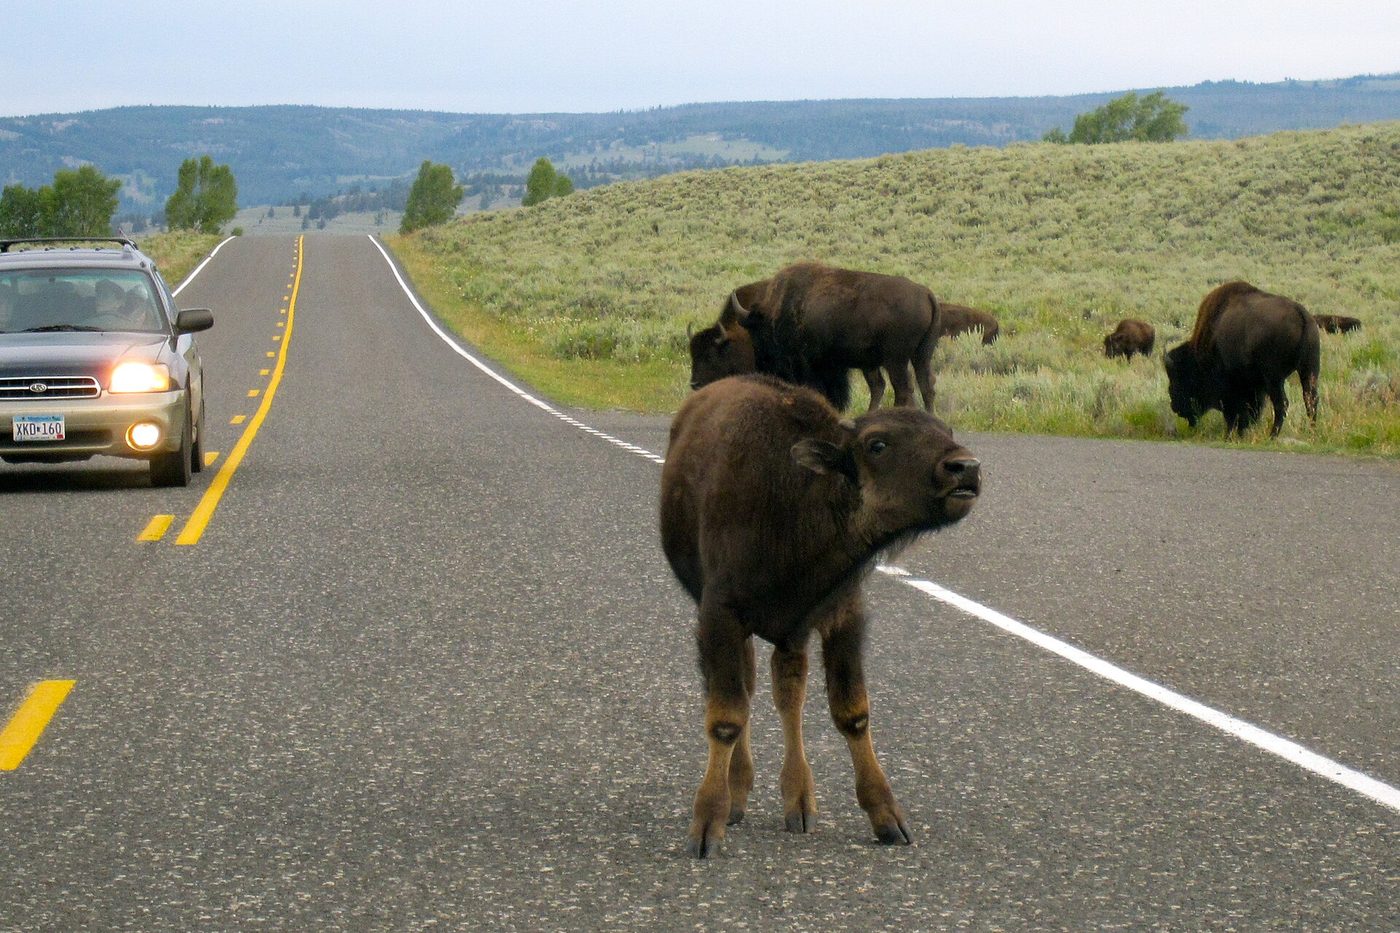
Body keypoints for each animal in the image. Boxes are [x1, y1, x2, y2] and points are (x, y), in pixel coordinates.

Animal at [659, 374, 980, 857]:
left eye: (947, 431)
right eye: (877, 444)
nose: (965, 468)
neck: (797, 498)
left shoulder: (841, 615)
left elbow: (852, 712)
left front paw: (889, 819)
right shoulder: (719, 616)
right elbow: (726, 717)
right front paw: (707, 826)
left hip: (790, 636)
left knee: (787, 694)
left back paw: (800, 804)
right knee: (750, 690)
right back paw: (740, 797)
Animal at [687, 262, 941, 412]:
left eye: (711, 355)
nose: (694, 384)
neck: (778, 308)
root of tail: (926, 293)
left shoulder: (809, 365)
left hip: (896, 360)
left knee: (904, 391)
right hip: (919, 356)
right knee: (925, 387)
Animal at [1163, 281, 1320, 436]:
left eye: (1177, 379)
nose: (1174, 406)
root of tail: (1300, 313)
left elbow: (1234, 412)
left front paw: (1231, 433)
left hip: (1274, 378)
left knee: (1282, 403)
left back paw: (1272, 435)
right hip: (1309, 369)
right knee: (1310, 399)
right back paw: (1312, 432)